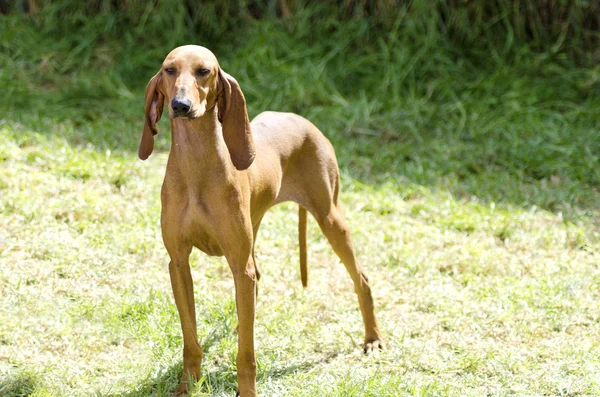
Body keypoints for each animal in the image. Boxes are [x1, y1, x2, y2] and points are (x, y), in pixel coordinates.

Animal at [139, 44, 384, 394]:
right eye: (169, 70)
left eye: (204, 71)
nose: (180, 105)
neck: (197, 168)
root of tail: (301, 120)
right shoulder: (179, 264)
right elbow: (191, 340)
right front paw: (187, 386)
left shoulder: (239, 266)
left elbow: (246, 355)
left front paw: (247, 391)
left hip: (330, 219)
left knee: (360, 279)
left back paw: (373, 338)